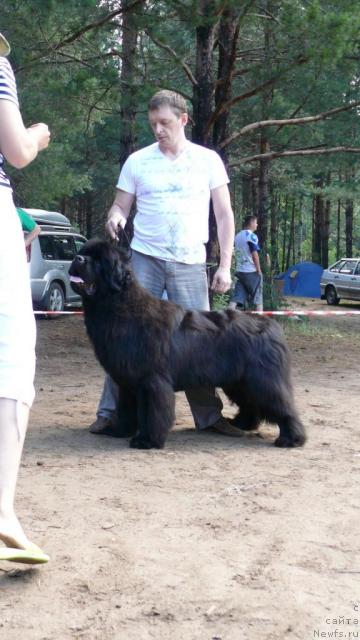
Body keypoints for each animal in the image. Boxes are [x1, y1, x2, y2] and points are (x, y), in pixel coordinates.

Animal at [69, 240, 306, 450]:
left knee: (282, 406)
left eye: (99, 261)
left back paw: (291, 439)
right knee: (250, 403)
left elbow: (153, 412)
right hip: (238, 381)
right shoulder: (128, 380)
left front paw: (147, 440)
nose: (77, 258)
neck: (120, 306)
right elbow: (126, 408)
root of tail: (271, 325)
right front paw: (120, 430)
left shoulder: (151, 380)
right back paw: (241, 423)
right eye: (84, 253)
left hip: (262, 380)